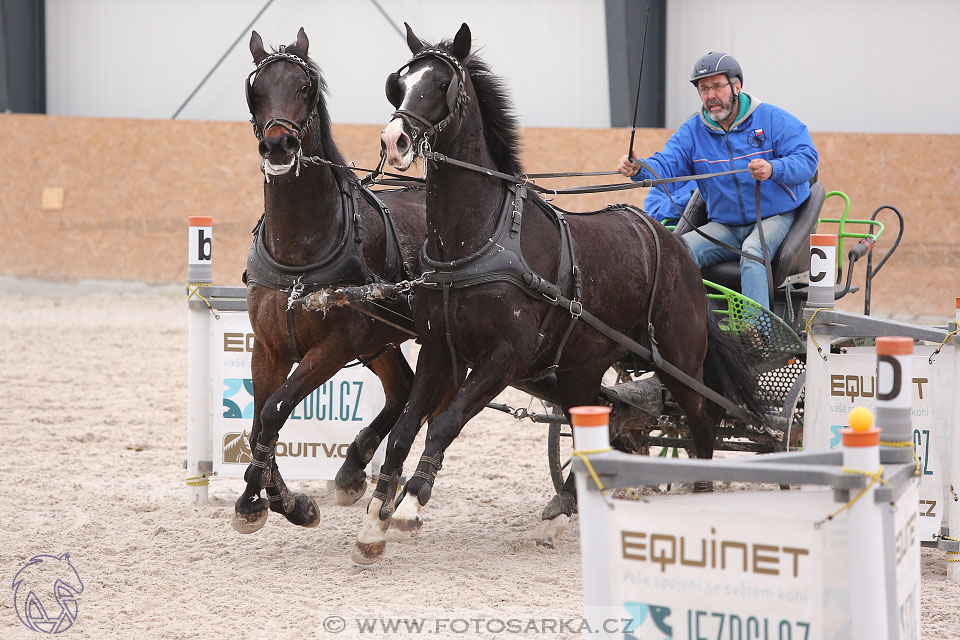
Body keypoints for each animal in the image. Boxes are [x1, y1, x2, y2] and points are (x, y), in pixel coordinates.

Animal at [231, 27, 426, 532]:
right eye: (255, 90)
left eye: (305, 87)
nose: (278, 146)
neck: (300, 252)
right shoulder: (269, 347)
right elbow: (258, 423)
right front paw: (268, 499)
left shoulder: (333, 348)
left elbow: (276, 409)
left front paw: (272, 500)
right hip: (380, 340)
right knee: (403, 389)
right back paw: (354, 467)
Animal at [354, 22, 764, 564]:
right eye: (399, 84)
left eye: (442, 84)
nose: (394, 139)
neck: (478, 238)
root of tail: (674, 244)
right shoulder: (439, 350)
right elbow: (403, 432)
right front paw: (374, 524)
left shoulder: (504, 359)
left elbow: (445, 424)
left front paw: (408, 507)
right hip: (581, 367)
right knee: (602, 427)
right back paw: (560, 514)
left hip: (679, 359)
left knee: (703, 419)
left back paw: (697, 497)